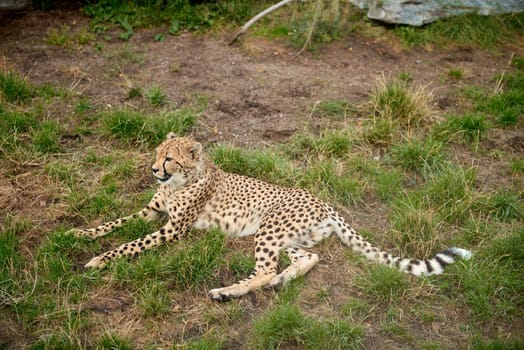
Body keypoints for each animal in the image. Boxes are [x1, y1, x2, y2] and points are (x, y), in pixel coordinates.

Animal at [71, 133, 472, 302]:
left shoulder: (172, 230)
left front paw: (98, 260)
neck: (183, 180)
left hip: (268, 229)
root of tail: (322, 199)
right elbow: (116, 223)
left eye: (169, 158)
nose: (154, 170)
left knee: (264, 270)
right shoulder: (152, 212)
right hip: (288, 237)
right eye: (157, 154)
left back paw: (226, 291)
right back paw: (282, 281)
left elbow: (129, 244)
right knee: (309, 257)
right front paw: (79, 234)